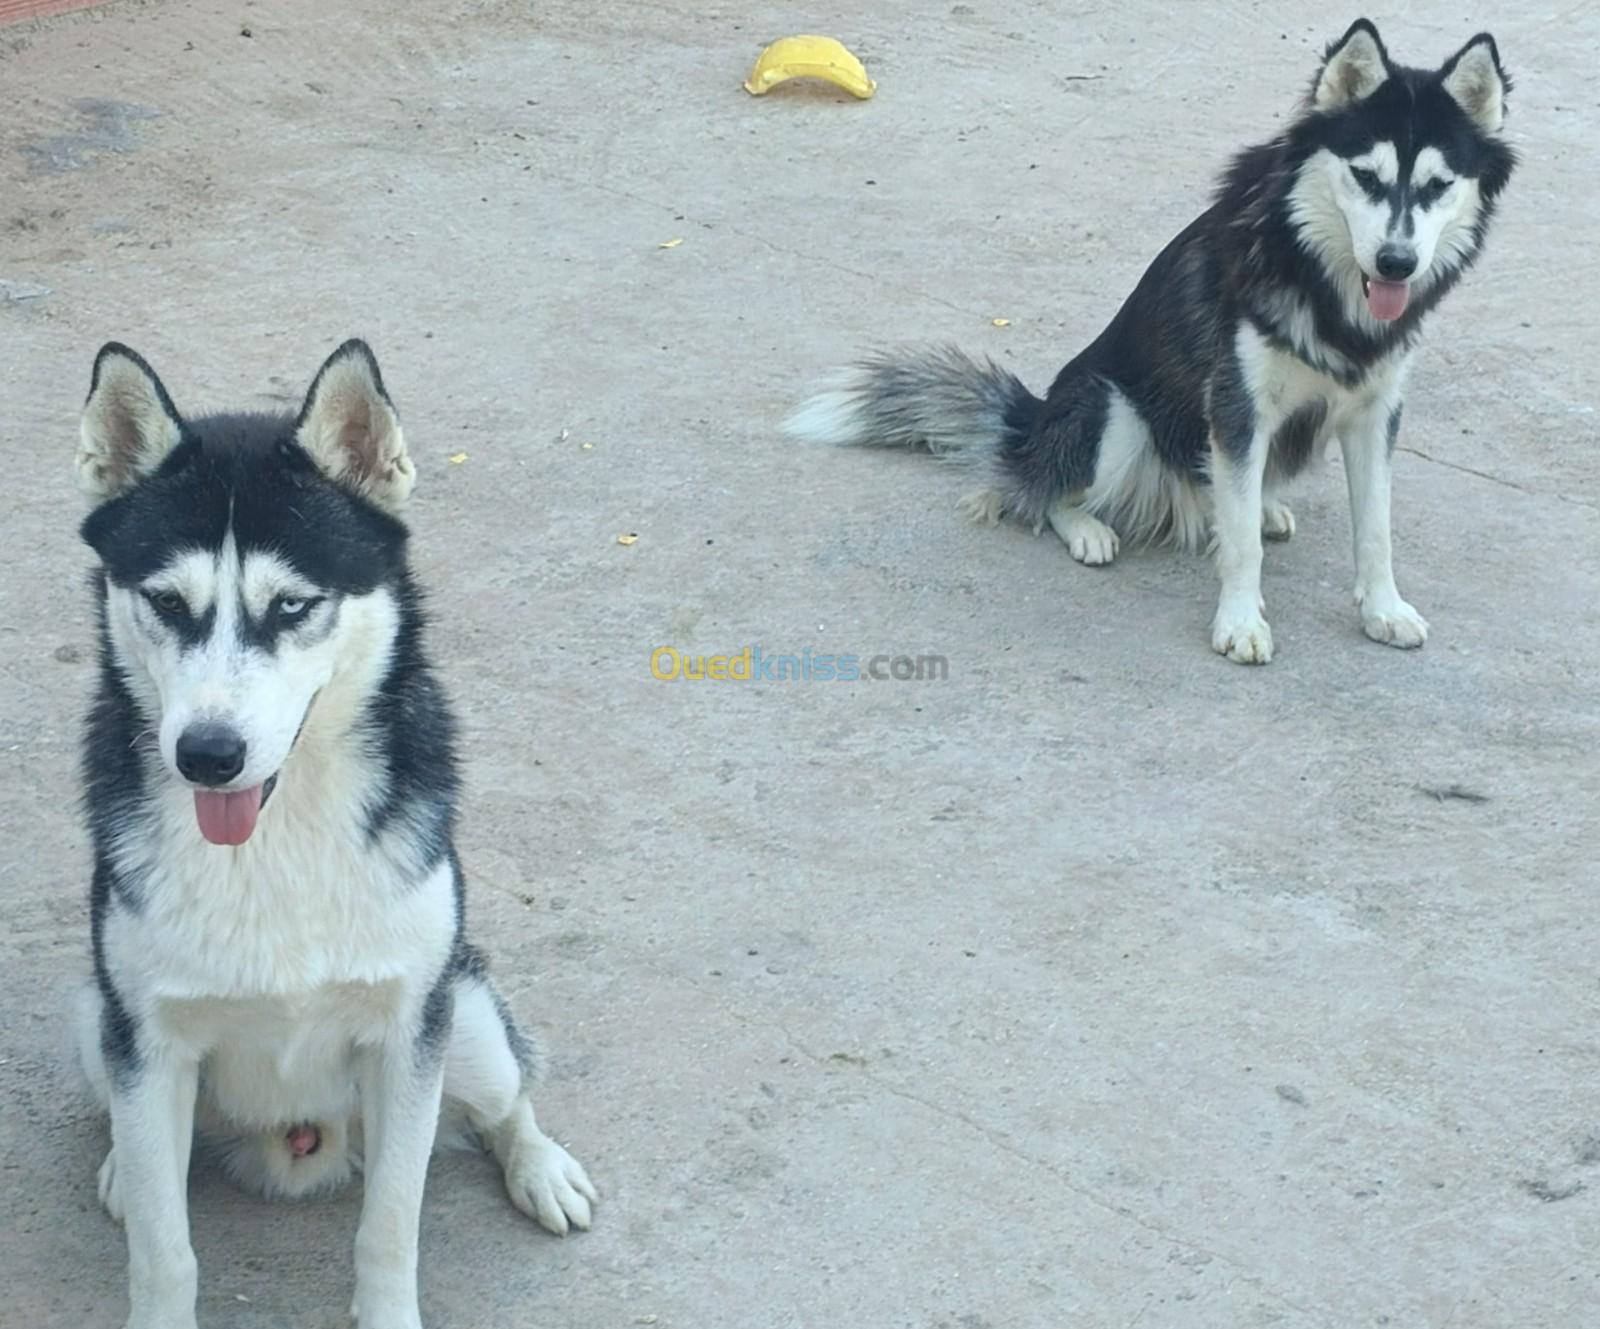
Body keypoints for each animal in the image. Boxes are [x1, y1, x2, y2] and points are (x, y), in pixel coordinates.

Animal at [73, 342, 595, 1329]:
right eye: (166, 601)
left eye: (291, 606)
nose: (207, 755)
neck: (273, 836)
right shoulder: (146, 1040)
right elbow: (163, 1249)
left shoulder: (408, 1034)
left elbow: (389, 1223)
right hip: (97, 1018)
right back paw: (122, 1160)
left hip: (464, 1016)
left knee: (507, 1094)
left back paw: (541, 1164)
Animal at [787, 18, 1510, 662]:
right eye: (1365, 175)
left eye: (1437, 186)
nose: (1396, 262)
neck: (1320, 280)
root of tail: (1031, 423)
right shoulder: (1237, 406)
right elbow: (1240, 544)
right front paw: (1240, 622)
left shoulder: (1373, 412)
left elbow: (1376, 530)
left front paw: (1384, 609)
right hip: (1113, 413)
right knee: (1042, 492)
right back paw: (1086, 525)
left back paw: (1263, 506)